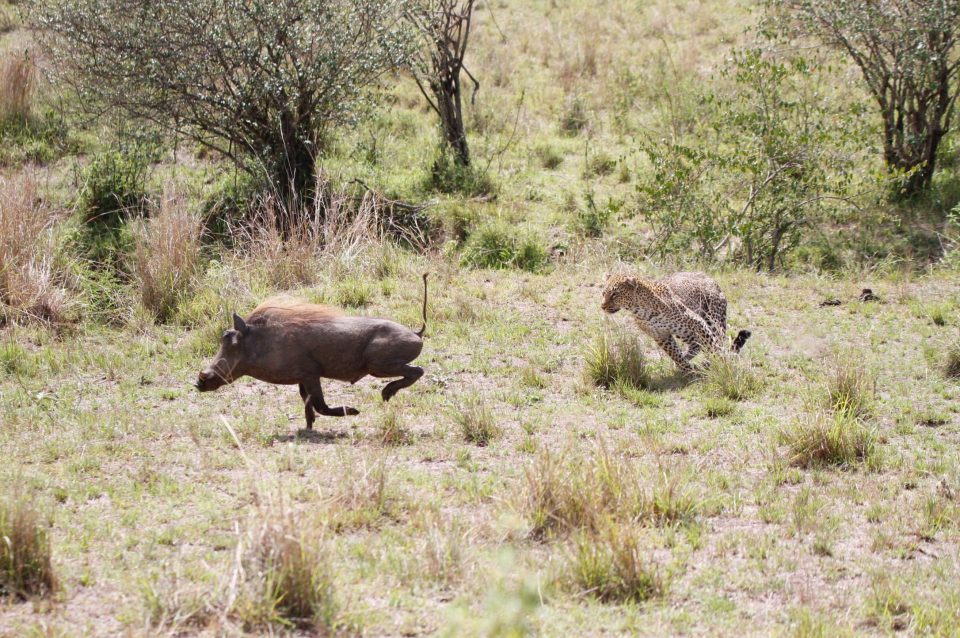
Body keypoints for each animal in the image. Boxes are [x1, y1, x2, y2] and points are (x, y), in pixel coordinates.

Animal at [600, 272, 752, 376]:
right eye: (603, 293)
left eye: (615, 294)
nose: (602, 306)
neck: (640, 310)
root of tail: (710, 278)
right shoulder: (660, 335)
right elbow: (675, 355)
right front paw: (689, 369)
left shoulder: (696, 321)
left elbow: (712, 345)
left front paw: (722, 363)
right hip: (683, 332)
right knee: (696, 345)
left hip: (713, 320)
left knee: (716, 341)